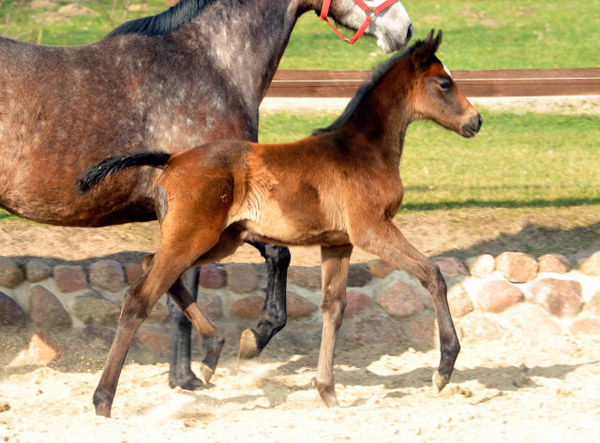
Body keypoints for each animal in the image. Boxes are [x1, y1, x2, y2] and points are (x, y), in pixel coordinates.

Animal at [81, 31, 482, 416]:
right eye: (444, 83)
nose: (476, 121)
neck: (363, 150)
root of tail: (172, 159)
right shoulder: (372, 230)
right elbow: (432, 274)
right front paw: (444, 370)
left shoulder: (338, 243)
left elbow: (333, 308)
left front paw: (327, 391)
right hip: (196, 237)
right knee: (139, 298)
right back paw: (104, 400)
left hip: (218, 240)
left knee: (151, 264)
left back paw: (215, 352)